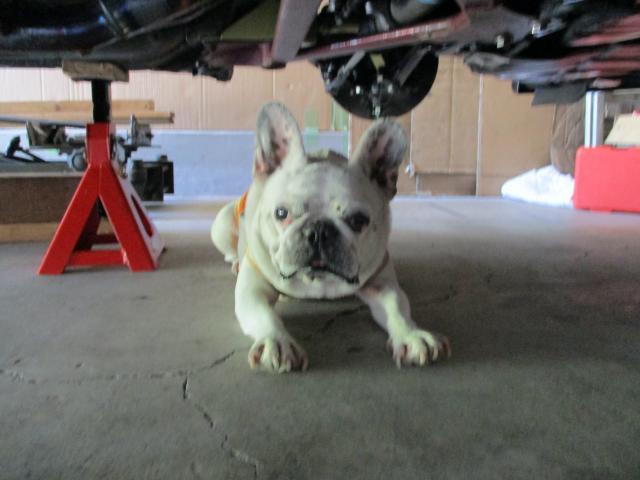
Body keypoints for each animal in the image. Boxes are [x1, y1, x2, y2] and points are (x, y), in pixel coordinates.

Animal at [211, 102, 450, 373]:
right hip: (221, 225)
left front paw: (411, 336)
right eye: (281, 213)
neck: (317, 281)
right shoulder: (252, 287)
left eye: (358, 220)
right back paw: (235, 262)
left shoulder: (381, 282)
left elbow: (397, 307)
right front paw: (276, 341)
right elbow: (263, 314)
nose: (319, 231)